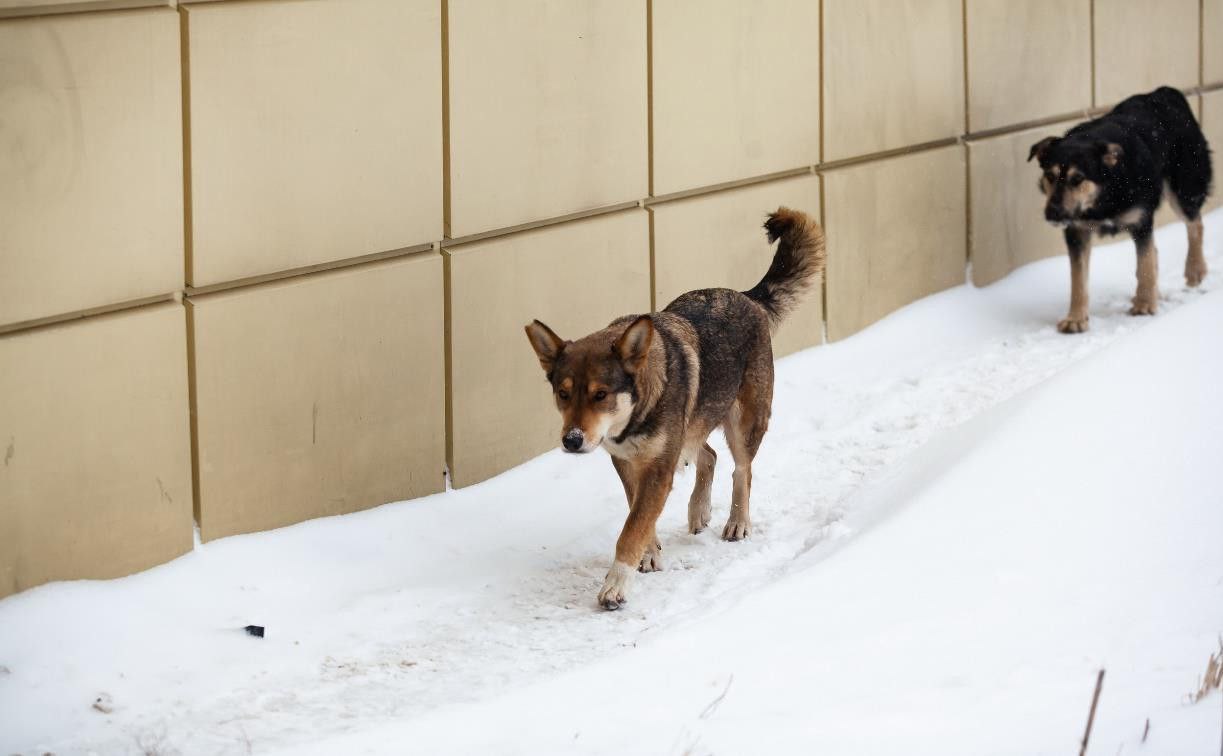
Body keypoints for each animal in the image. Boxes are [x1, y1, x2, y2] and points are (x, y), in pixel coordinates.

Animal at [523, 205, 821, 606]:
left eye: (601, 394)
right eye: (563, 393)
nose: (571, 441)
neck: (635, 417)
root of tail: (746, 296)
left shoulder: (659, 468)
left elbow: (632, 527)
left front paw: (616, 584)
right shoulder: (628, 464)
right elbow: (639, 516)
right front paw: (650, 554)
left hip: (744, 422)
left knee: (742, 470)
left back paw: (737, 522)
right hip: (693, 430)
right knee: (710, 455)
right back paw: (699, 510)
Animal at [1027, 86, 1208, 330]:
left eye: (1078, 179)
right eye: (1050, 176)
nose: (1052, 214)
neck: (1105, 192)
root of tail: (1165, 92)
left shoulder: (1141, 220)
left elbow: (1144, 263)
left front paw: (1144, 305)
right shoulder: (1077, 231)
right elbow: (1078, 278)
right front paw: (1076, 318)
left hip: (1183, 188)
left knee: (1195, 224)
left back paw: (1195, 270)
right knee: (1158, 248)